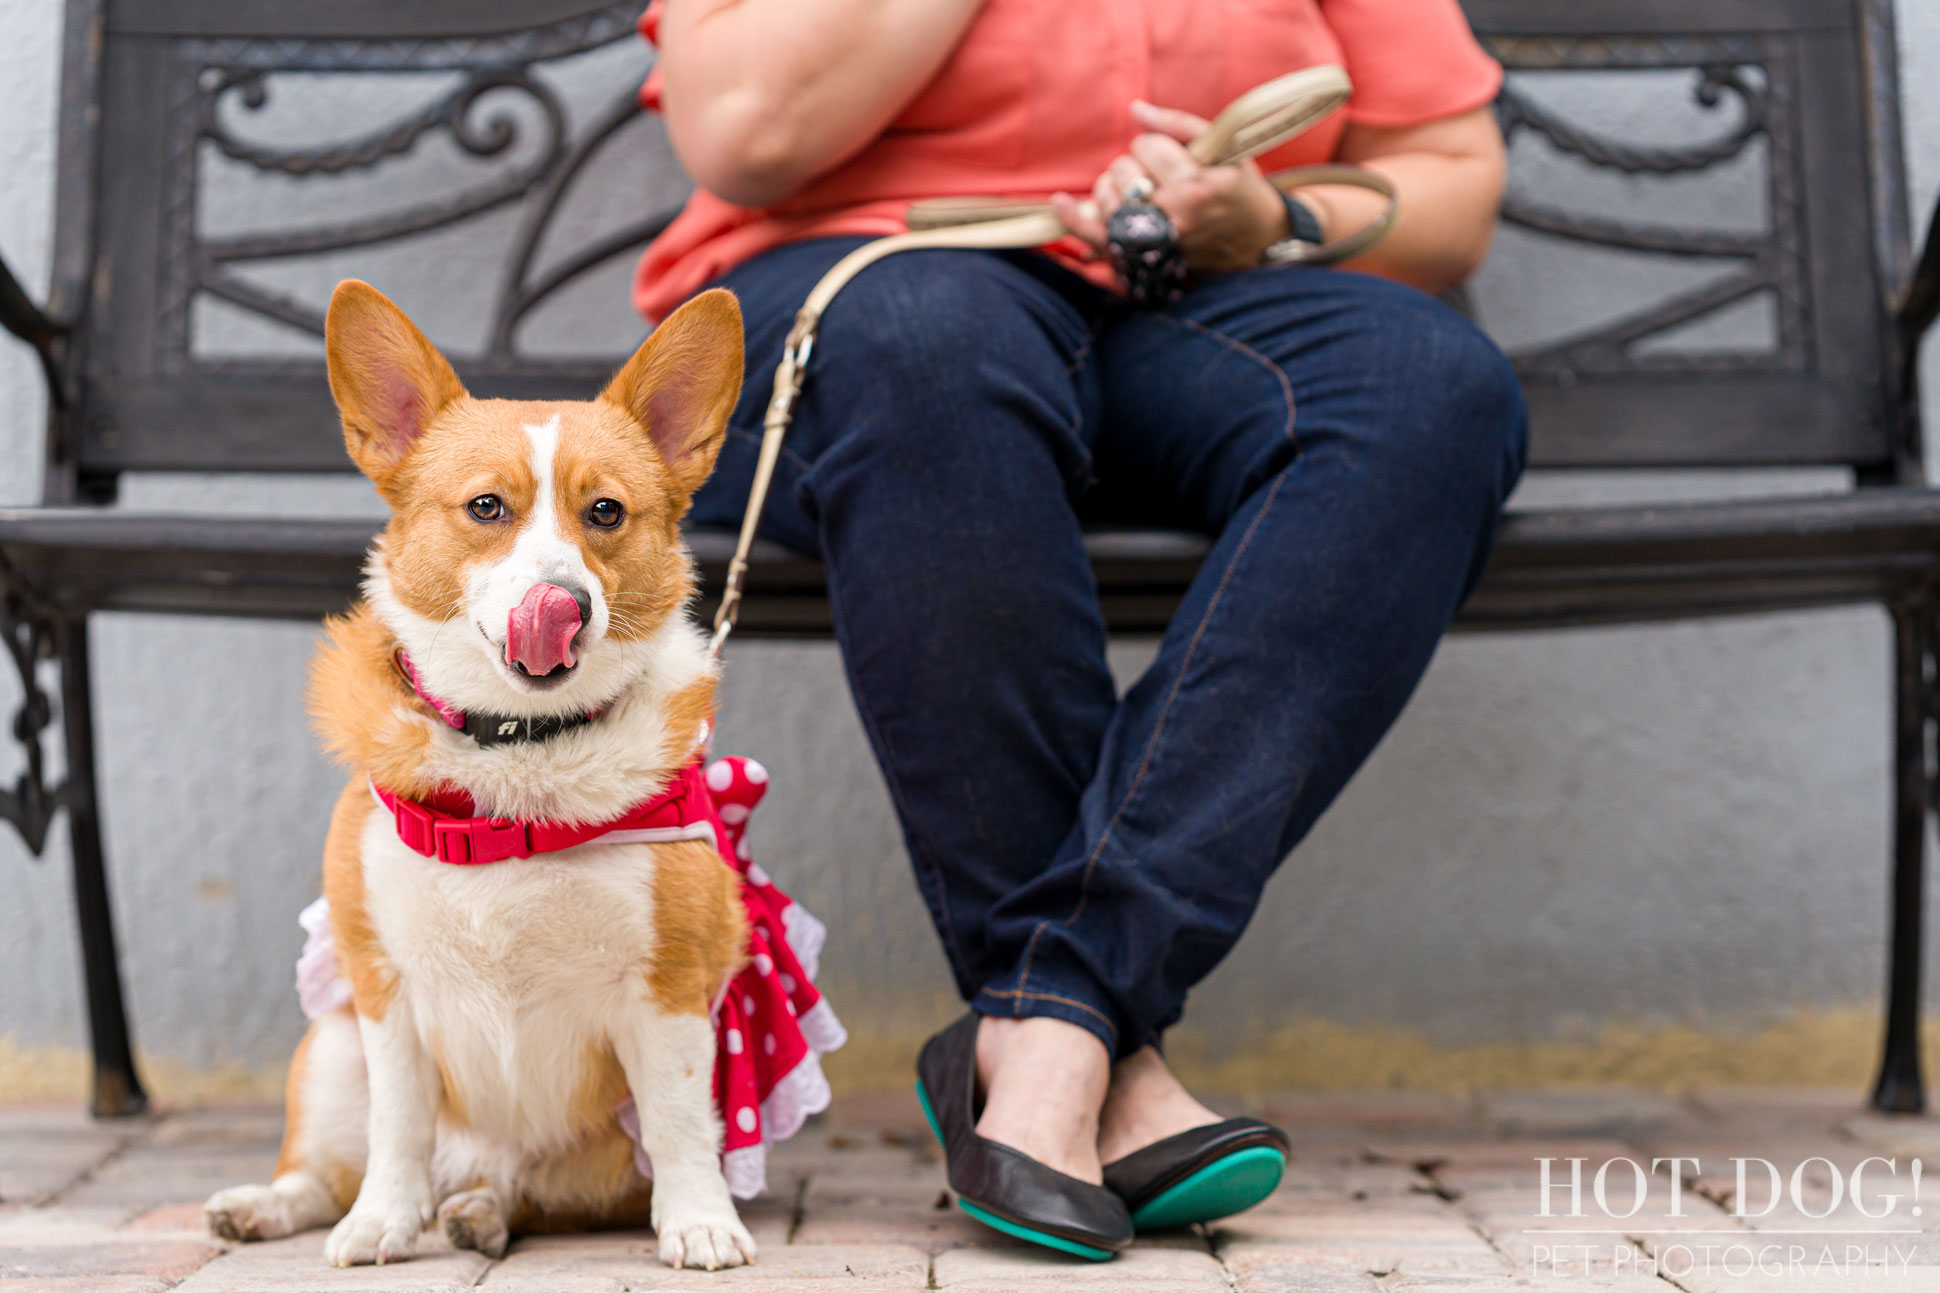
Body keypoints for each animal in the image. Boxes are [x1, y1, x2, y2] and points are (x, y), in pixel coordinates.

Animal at [200, 285, 760, 1265]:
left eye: (605, 513)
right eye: (487, 507)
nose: (561, 605)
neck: (519, 751)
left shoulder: (670, 989)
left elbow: (684, 1121)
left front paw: (701, 1221)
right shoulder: (386, 992)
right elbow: (397, 1127)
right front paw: (380, 1222)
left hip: (585, 1154)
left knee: (532, 1192)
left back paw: (479, 1213)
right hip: (332, 1047)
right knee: (325, 1168)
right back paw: (274, 1206)